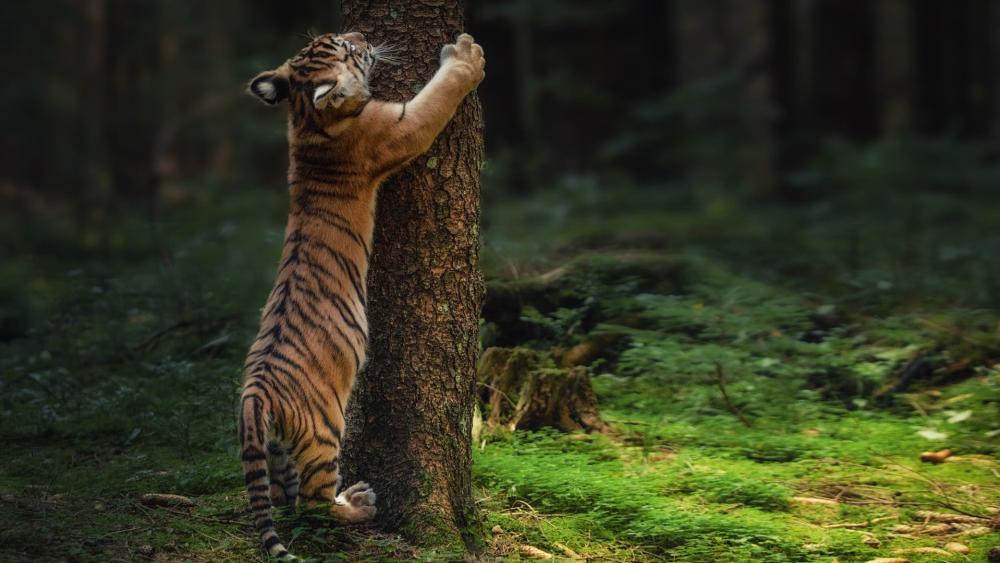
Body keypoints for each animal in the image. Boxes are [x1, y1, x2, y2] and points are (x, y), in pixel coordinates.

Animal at [238, 31, 485, 559]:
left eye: (332, 40)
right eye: (349, 51)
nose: (360, 35)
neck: (306, 122)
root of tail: (253, 394)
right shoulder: (402, 127)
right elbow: (438, 96)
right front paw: (465, 56)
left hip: (278, 448)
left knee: (287, 499)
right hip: (323, 428)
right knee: (313, 502)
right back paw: (360, 503)